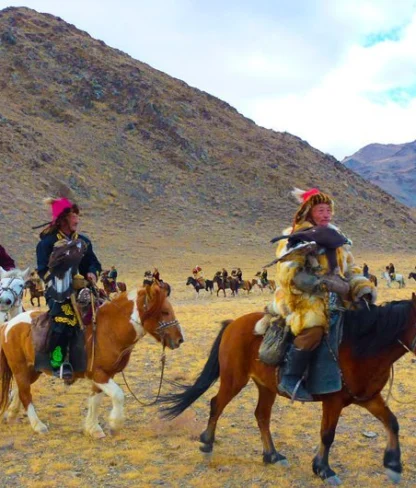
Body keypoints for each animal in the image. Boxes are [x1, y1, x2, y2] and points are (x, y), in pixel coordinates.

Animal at [0, 282, 184, 438]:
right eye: (164, 311)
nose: (180, 339)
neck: (109, 330)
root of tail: (8, 325)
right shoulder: (99, 374)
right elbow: (118, 395)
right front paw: (115, 423)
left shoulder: (104, 375)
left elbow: (95, 400)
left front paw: (93, 428)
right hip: (20, 368)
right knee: (25, 394)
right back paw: (38, 425)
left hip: (32, 370)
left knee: (19, 389)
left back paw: (12, 414)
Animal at [161, 294, 416, 484]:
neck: (360, 346)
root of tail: (232, 323)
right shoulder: (333, 401)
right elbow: (327, 434)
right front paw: (324, 470)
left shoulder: (368, 397)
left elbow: (392, 422)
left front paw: (393, 465)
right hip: (234, 379)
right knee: (217, 404)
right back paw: (207, 444)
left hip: (266, 386)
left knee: (261, 415)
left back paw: (272, 455)